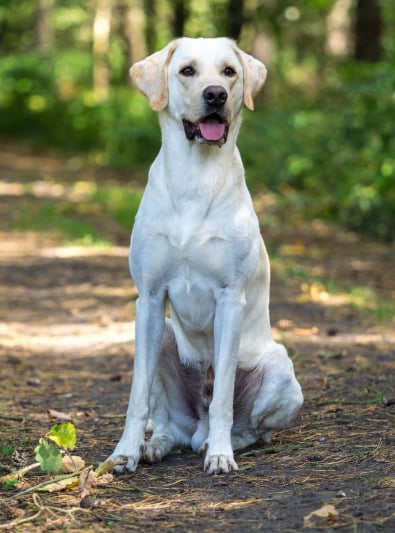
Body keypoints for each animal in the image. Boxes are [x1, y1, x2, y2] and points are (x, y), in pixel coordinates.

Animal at [106, 36, 304, 474]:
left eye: (229, 71)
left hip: (281, 372)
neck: (194, 178)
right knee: (168, 423)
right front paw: (125, 452)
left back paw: (219, 443)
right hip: (163, 337)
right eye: (187, 71)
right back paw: (156, 445)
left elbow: (225, 400)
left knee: (250, 427)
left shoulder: (230, 299)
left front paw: (220, 455)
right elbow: (136, 397)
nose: (216, 95)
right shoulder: (149, 299)